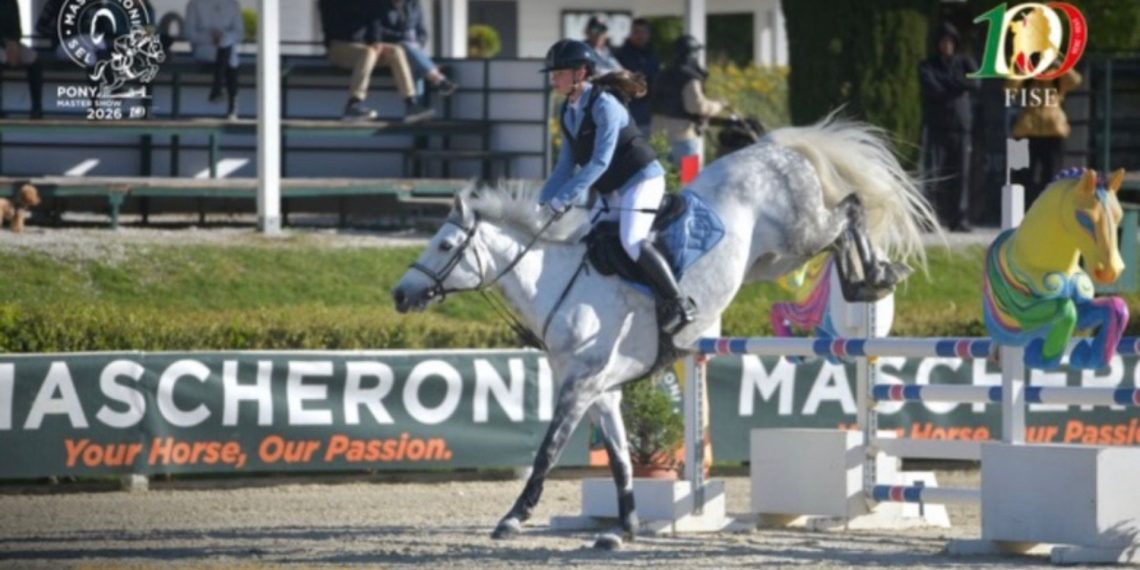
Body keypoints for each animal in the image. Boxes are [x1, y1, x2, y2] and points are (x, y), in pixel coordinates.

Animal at [391, 116, 939, 546]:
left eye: (444, 247)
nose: (400, 294)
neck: (558, 285)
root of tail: (772, 146)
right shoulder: (603, 391)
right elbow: (619, 459)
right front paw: (625, 527)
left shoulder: (581, 386)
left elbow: (548, 449)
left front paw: (514, 517)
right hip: (774, 259)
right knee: (840, 229)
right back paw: (869, 278)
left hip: (799, 233)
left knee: (849, 210)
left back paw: (874, 277)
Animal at [984, 167, 1129, 370]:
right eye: (1084, 218)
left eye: (1119, 217)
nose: (1110, 271)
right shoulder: (1023, 312)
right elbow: (1065, 311)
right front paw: (1039, 356)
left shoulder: (1082, 304)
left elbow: (1115, 306)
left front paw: (1086, 357)